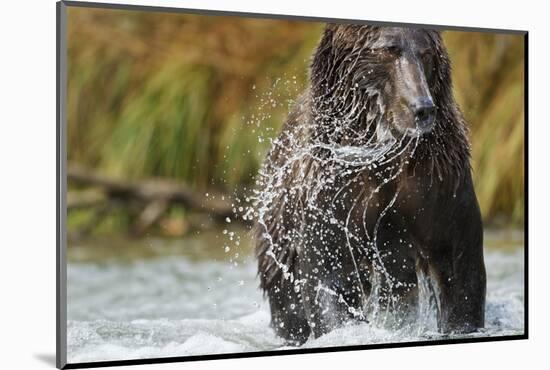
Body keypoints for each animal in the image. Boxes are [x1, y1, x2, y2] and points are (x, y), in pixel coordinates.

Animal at [253, 24, 488, 346]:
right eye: (389, 49)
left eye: (426, 53)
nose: (422, 109)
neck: (385, 151)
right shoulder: (333, 191)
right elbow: (329, 273)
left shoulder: (438, 182)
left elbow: (458, 267)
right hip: (278, 234)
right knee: (287, 303)